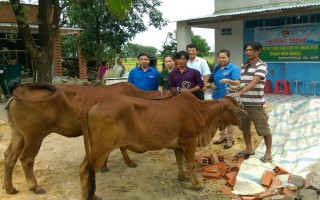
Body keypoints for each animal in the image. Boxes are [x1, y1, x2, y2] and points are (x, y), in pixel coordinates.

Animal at [2, 82, 175, 195]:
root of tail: (17, 95)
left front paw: (105, 165)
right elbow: (122, 147)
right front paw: (128, 162)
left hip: (18, 134)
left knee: (9, 156)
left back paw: (9, 188)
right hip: (34, 136)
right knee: (26, 158)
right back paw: (34, 187)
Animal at [79, 93, 244, 199]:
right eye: (235, 107)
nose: (243, 118)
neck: (201, 111)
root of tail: (96, 101)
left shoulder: (178, 145)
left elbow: (179, 161)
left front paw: (182, 177)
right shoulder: (190, 140)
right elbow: (190, 163)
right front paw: (197, 185)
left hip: (96, 148)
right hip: (101, 149)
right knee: (85, 170)